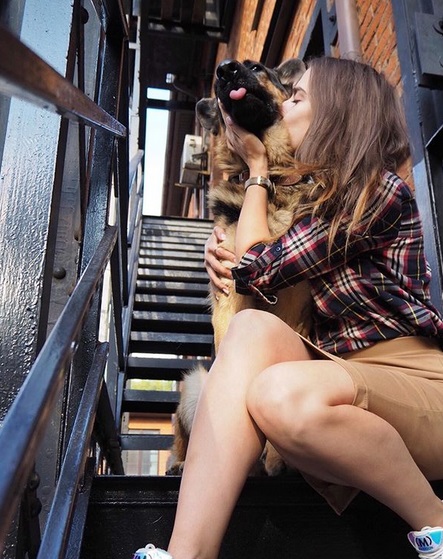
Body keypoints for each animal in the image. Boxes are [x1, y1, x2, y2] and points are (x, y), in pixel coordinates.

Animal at [167, 58, 312, 476]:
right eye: (220, 81)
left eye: (257, 67)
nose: (226, 71)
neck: (273, 182)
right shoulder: (231, 297)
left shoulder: (296, 305)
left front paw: (277, 457)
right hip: (195, 383)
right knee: (182, 433)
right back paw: (181, 463)